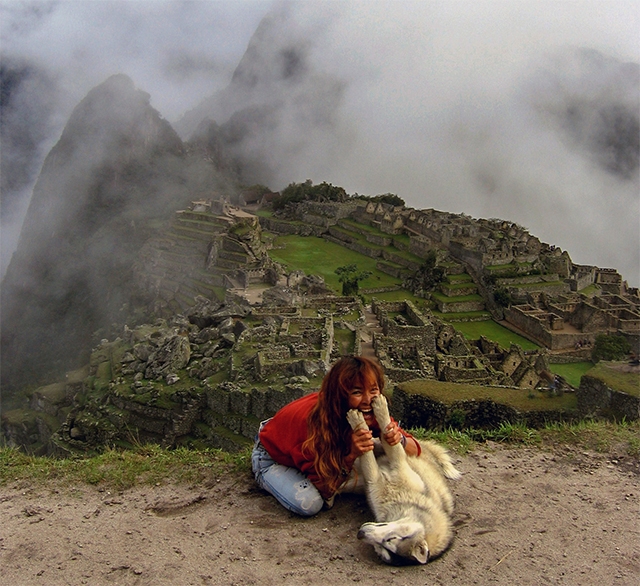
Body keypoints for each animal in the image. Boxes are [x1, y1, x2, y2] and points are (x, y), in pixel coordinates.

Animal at [344, 394, 460, 564]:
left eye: (384, 547)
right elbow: (389, 437)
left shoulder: (376, 478)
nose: (361, 533)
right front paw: (377, 408)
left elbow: (371, 456)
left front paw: (359, 419)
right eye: (392, 538)